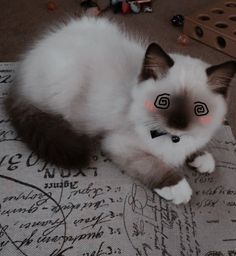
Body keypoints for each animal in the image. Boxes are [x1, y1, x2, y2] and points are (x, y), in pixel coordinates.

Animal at [5, 16, 236, 204]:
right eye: (163, 102)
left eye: (199, 109)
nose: (178, 124)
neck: (172, 138)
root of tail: (24, 65)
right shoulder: (120, 145)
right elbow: (154, 165)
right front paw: (178, 188)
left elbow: (194, 146)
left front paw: (202, 159)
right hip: (67, 87)